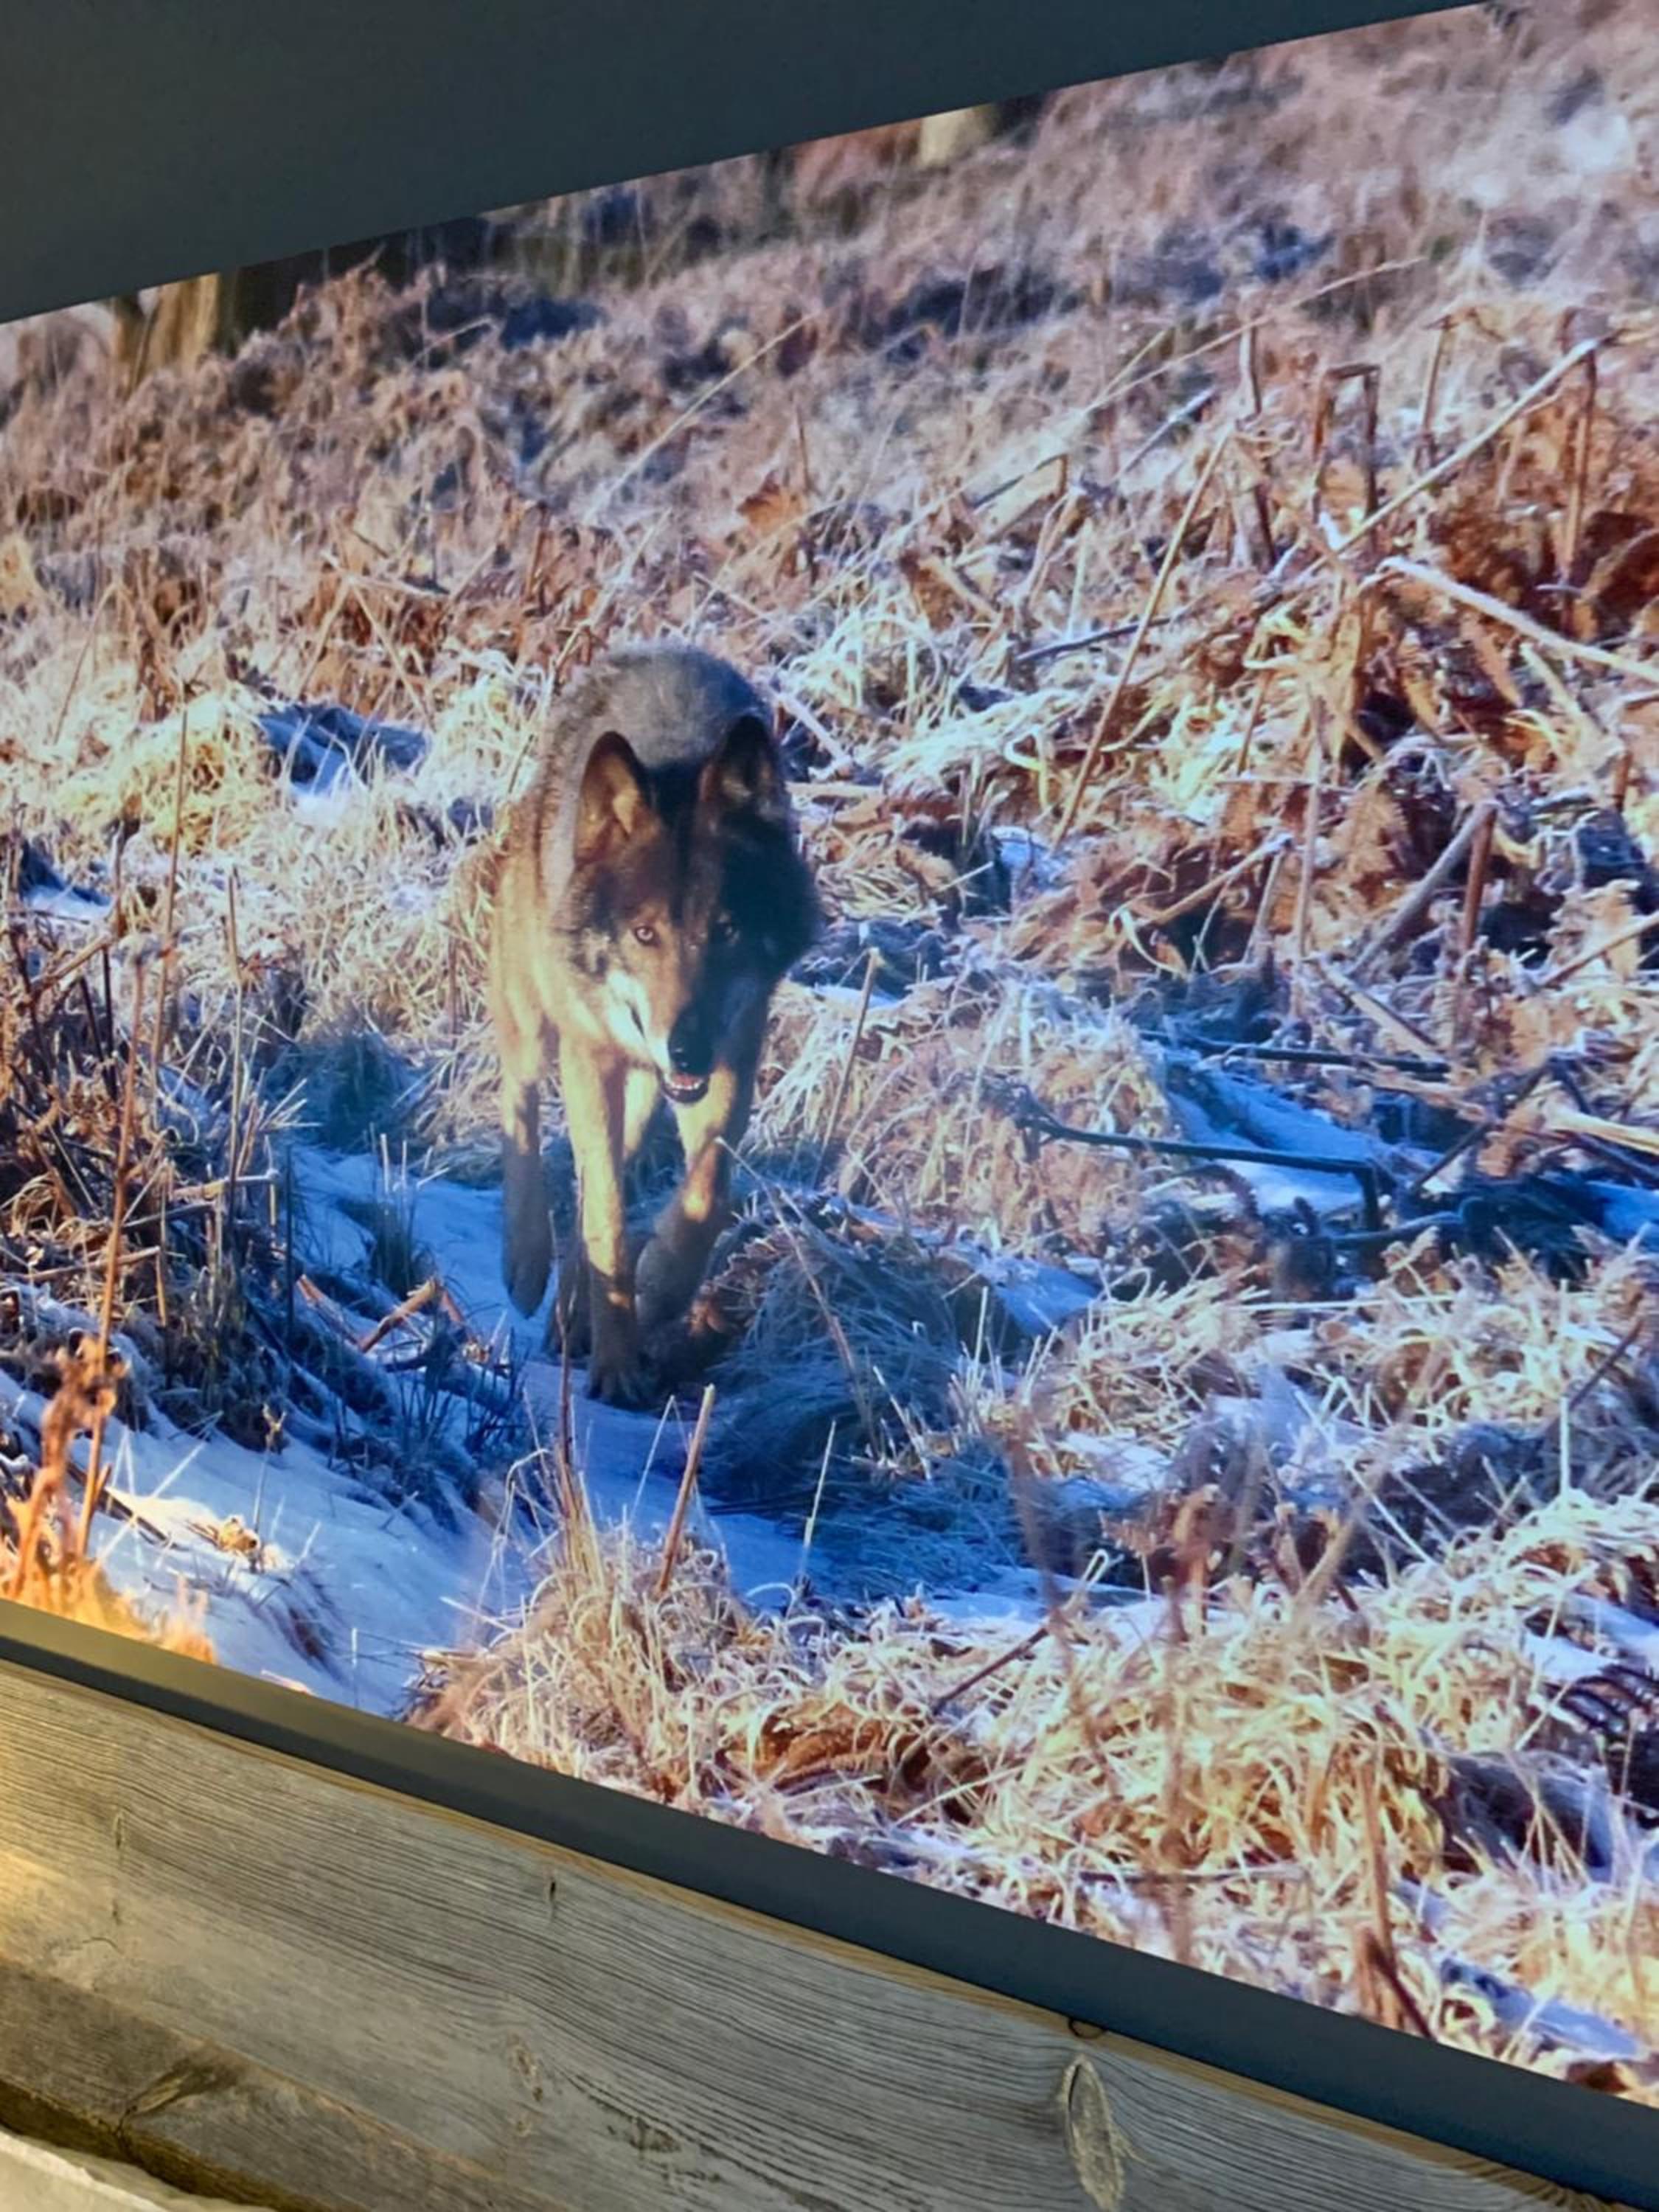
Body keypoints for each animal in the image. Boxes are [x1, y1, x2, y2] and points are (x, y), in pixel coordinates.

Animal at [488, 644, 819, 1405]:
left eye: (726, 931)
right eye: (644, 934)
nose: (685, 1047)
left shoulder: (733, 1052)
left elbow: (706, 1196)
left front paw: (660, 1288)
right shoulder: (591, 1056)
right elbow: (608, 1216)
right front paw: (616, 1368)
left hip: (642, 1083)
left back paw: (573, 1317)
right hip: (537, 1013)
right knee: (520, 1102)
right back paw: (526, 1265)